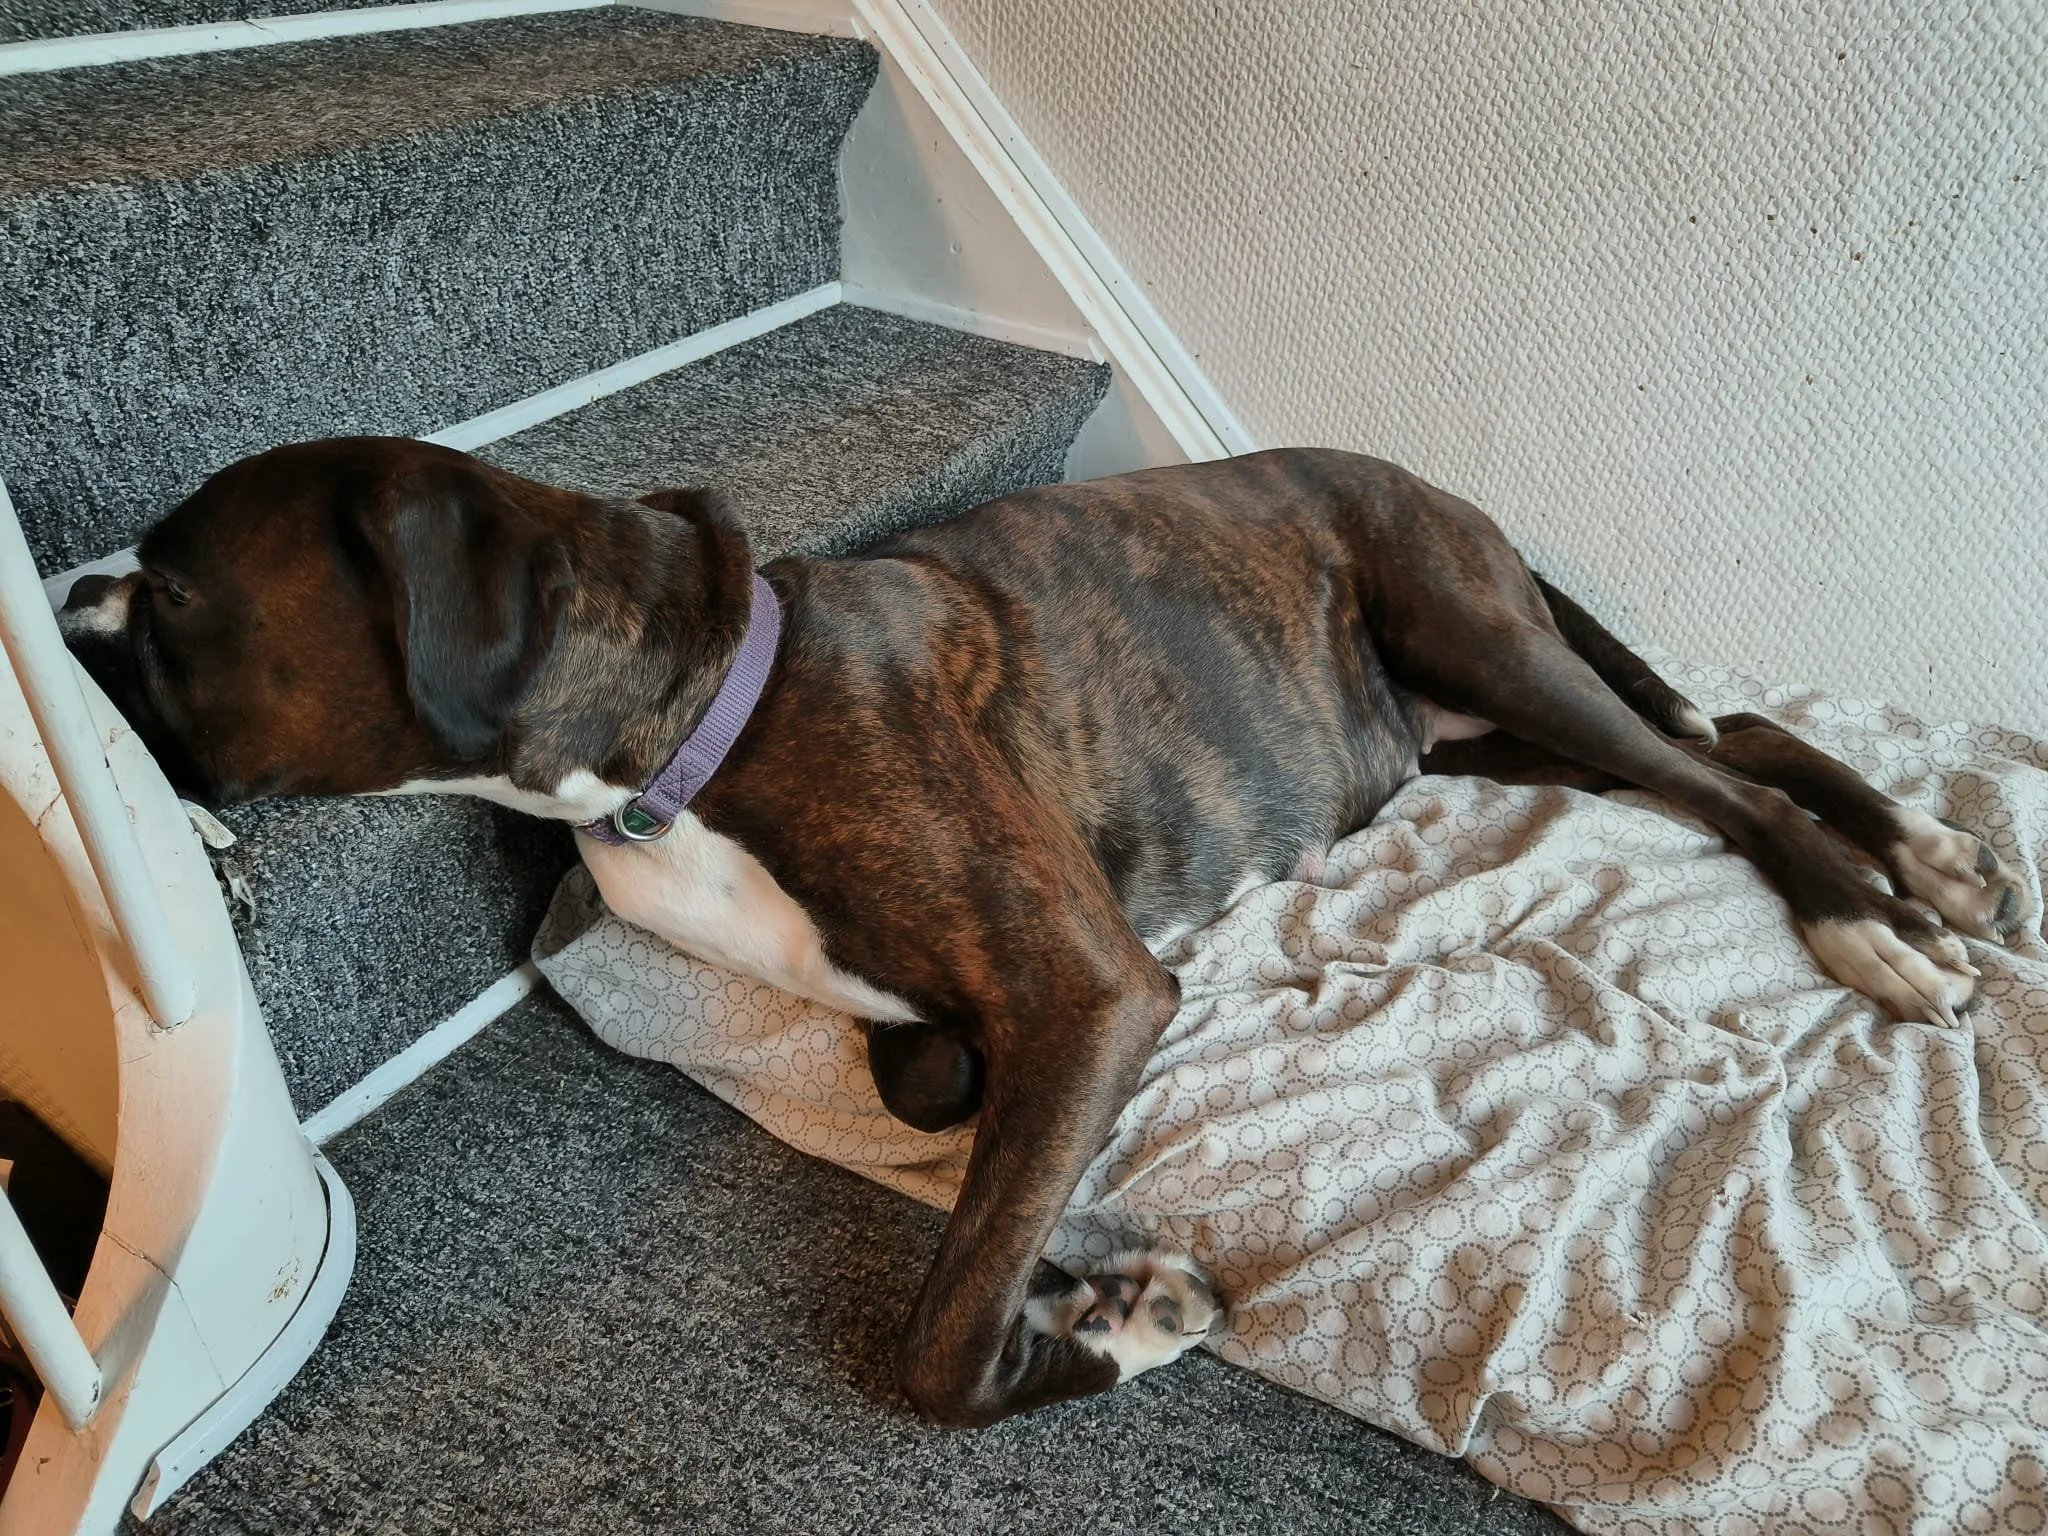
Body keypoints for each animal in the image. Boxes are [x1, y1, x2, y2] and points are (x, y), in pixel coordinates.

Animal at [60, 438, 2032, 1426]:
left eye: (176, 592)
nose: (60, 604)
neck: (685, 720)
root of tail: (1419, 475)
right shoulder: (967, 1008)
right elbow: (932, 1083)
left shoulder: (1084, 987)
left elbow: (942, 1333)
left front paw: (1123, 1325)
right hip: (1483, 727)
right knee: (1724, 741)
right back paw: (1926, 858)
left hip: (1476, 638)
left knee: (1723, 781)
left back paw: (1881, 919)